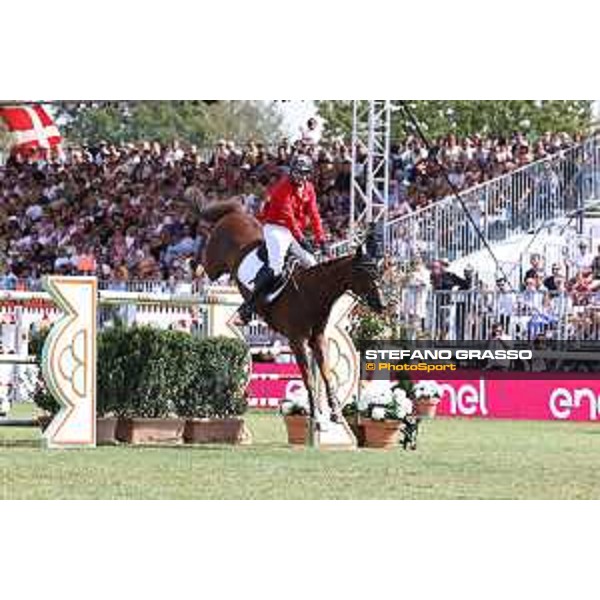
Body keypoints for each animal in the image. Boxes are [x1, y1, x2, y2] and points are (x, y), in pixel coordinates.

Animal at [198, 200, 384, 422]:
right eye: (366, 274)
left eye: (378, 273)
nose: (381, 305)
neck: (312, 292)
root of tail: (236, 214)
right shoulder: (297, 341)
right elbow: (308, 376)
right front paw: (316, 416)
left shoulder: (318, 339)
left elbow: (326, 374)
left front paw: (335, 412)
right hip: (214, 262)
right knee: (206, 264)